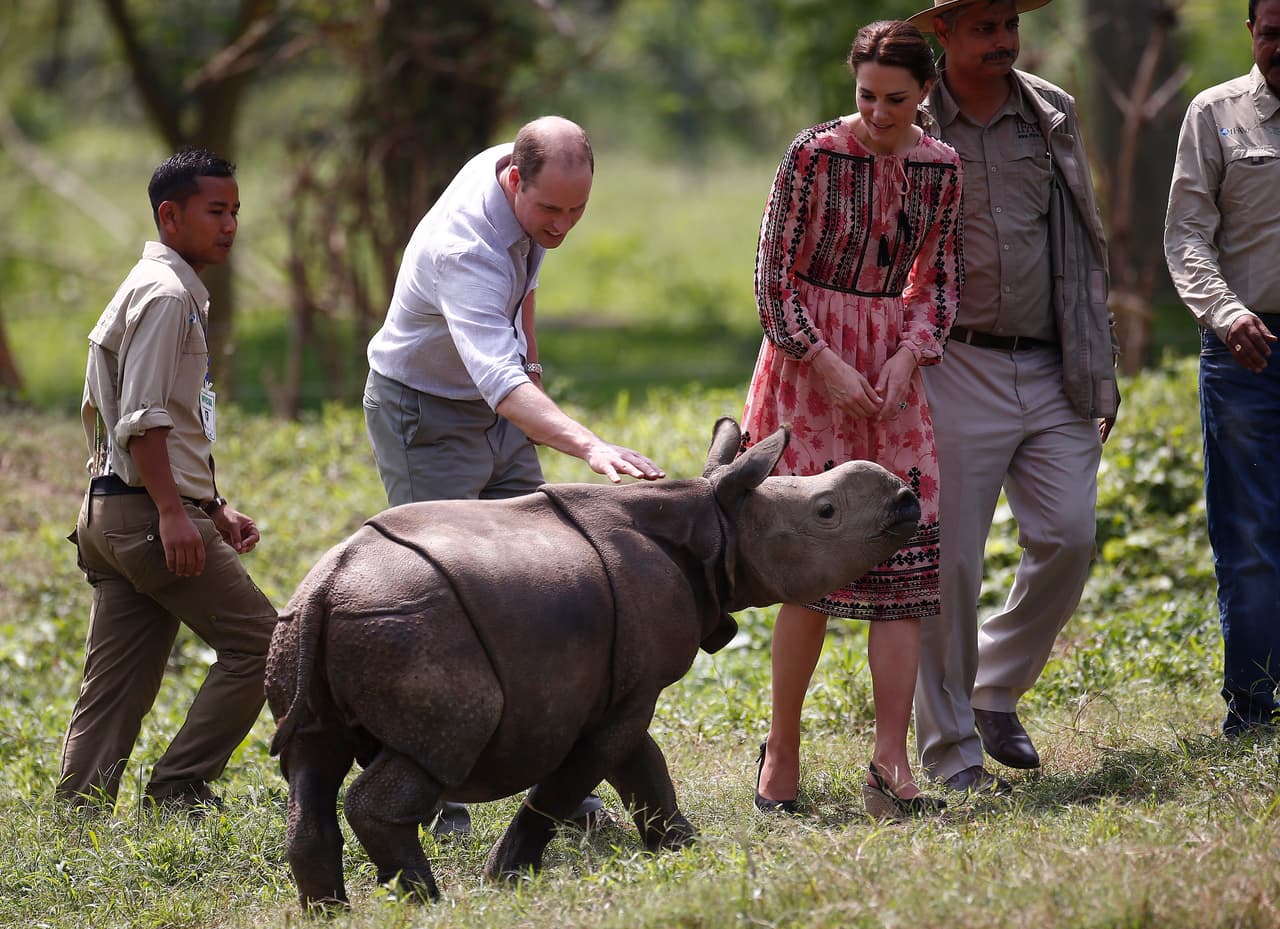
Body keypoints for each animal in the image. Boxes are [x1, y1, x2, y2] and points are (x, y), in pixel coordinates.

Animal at [265, 418, 919, 908]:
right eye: (826, 512)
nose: (909, 498)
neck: (719, 527)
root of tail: (327, 589)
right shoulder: (630, 691)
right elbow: (574, 779)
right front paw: (505, 878)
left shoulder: (623, 688)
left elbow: (644, 767)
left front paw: (685, 848)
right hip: (412, 630)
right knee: (434, 751)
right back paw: (426, 903)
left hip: (303, 630)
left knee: (311, 764)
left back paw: (330, 912)